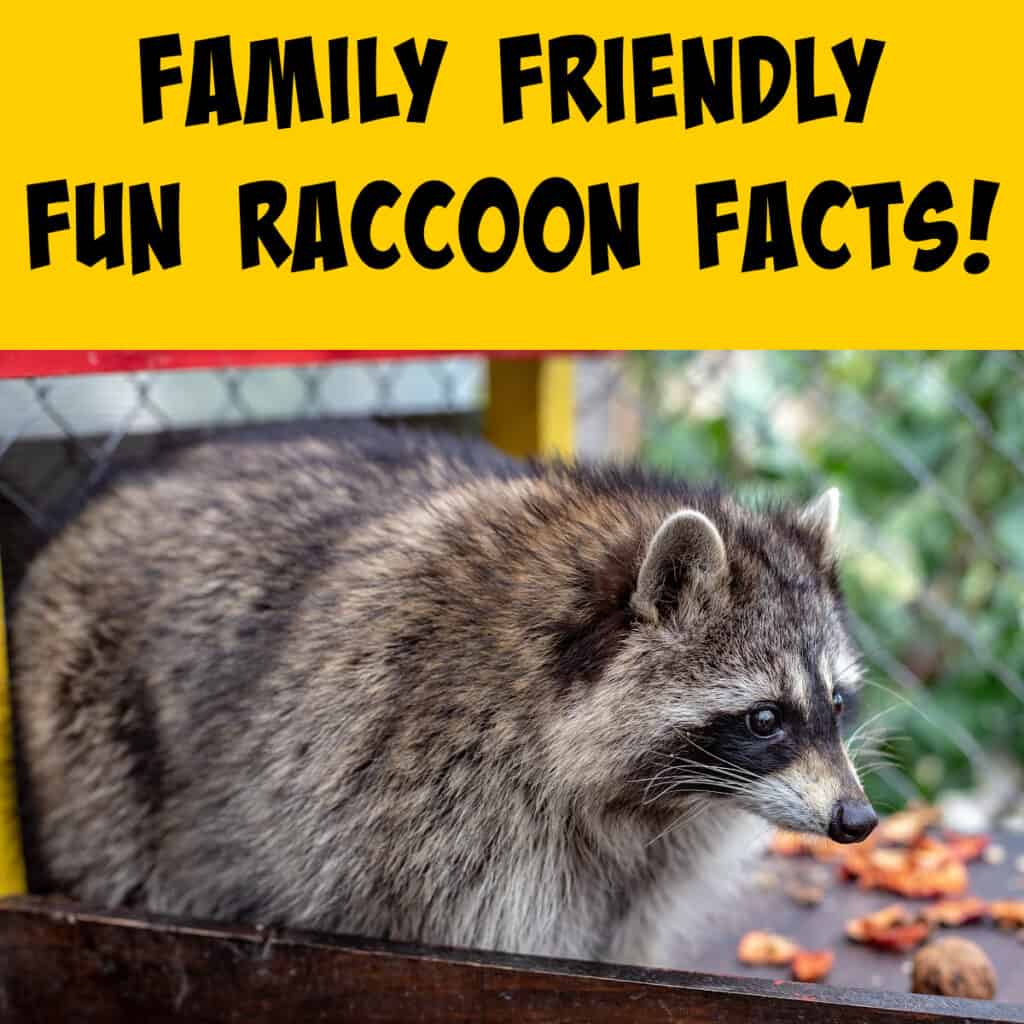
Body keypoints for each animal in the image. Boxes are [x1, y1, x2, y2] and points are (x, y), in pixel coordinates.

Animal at [9, 423, 875, 966]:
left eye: (835, 704)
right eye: (764, 719)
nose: (857, 820)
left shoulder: (649, 860)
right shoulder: (434, 800)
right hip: (93, 719)